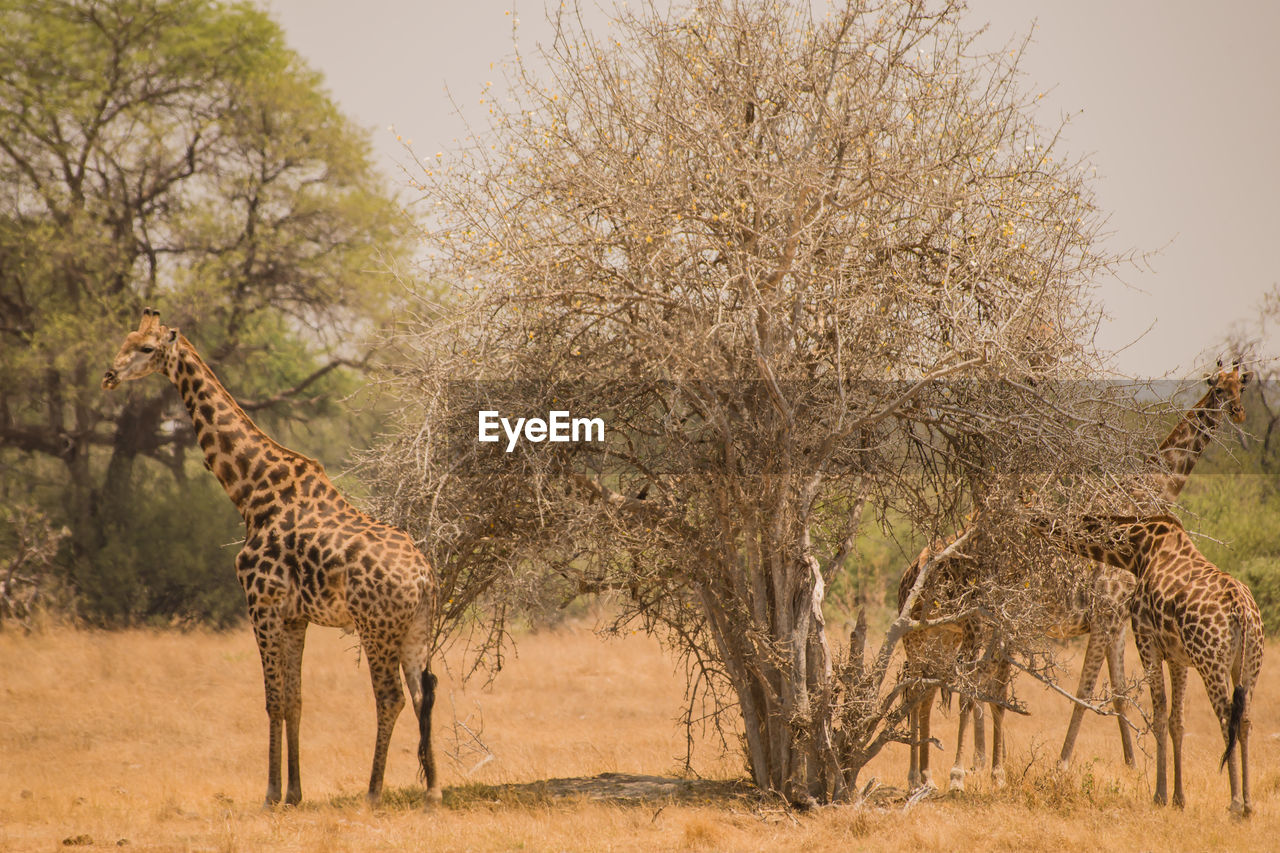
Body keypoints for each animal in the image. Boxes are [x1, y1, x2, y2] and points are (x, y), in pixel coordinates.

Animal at [101, 306, 440, 804]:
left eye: (145, 348)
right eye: (123, 341)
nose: (109, 375)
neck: (249, 489)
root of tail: (423, 579)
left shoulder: (260, 603)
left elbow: (272, 699)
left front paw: (270, 794)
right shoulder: (295, 616)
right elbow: (295, 698)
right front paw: (295, 792)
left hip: (375, 627)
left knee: (391, 697)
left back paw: (373, 791)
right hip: (416, 629)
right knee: (423, 692)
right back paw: (433, 789)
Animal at [901, 358, 1249, 788]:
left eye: (1240, 387)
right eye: (1218, 388)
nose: (1238, 413)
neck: (1142, 496)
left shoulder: (1117, 619)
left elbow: (1118, 691)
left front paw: (1131, 767)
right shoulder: (1106, 613)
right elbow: (1085, 691)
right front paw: (1063, 764)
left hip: (952, 634)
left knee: (945, 688)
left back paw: (947, 771)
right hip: (965, 629)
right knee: (952, 687)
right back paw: (954, 771)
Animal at [1034, 512, 1264, 809]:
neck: (1136, 551)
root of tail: (1242, 610)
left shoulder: (1145, 638)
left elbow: (1157, 715)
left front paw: (1160, 795)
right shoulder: (1178, 656)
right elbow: (1176, 720)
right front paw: (1179, 798)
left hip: (1210, 661)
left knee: (1227, 719)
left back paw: (1235, 804)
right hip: (1248, 664)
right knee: (1245, 720)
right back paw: (1248, 804)